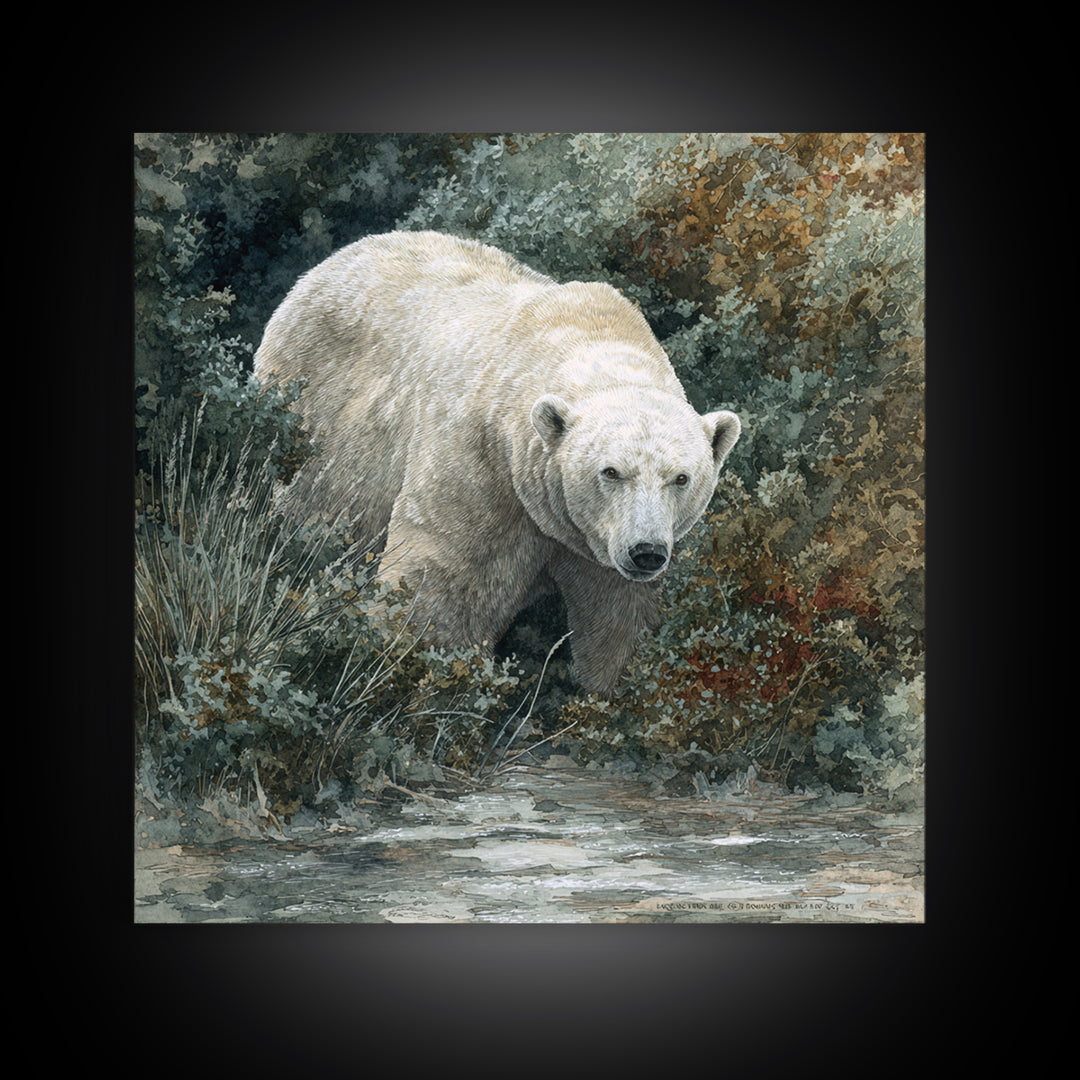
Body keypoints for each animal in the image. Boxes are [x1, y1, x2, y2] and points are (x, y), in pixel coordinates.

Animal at [254, 231, 741, 695]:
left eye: (680, 478)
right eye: (611, 472)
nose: (646, 552)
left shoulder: (595, 543)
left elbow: (621, 615)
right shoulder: (481, 461)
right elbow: (446, 583)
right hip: (319, 417)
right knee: (317, 511)